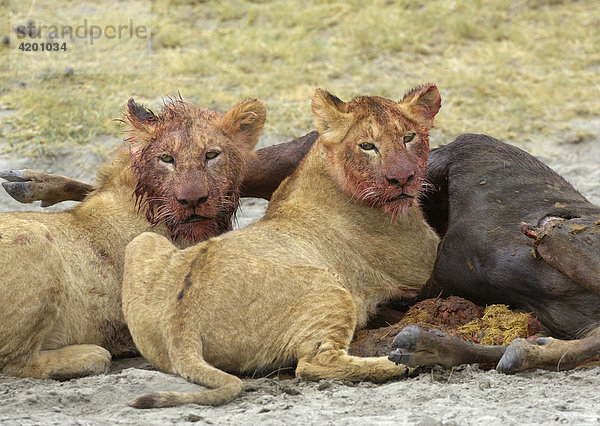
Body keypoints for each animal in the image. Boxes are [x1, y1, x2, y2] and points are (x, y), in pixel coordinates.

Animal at [0, 96, 268, 380]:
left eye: (211, 155)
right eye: (166, 158)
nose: (192, 200)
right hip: (35, 240)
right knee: (15, 360)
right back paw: (92, 355)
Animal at [120, 85, 440, 408]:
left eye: (408, 138)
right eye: (367, 146)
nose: (403, 179)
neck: (325, 169)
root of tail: (182, 327)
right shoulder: (422, 263)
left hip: (142, 242)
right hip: (327, 283)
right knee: (313, 363)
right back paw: (402, 363)